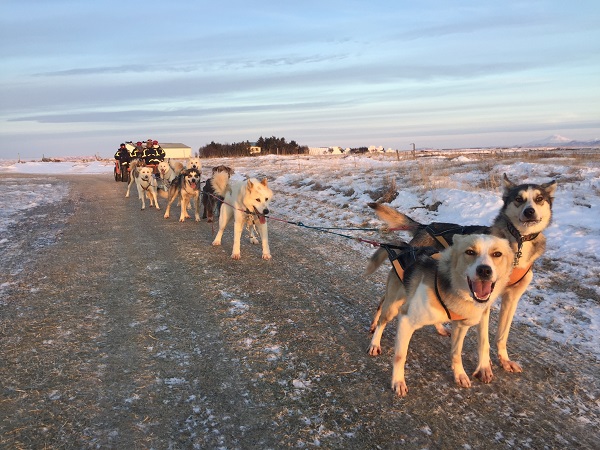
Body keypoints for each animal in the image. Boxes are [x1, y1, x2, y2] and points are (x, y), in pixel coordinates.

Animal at [366, 174, 556, 374]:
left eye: (539, 199)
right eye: (519, 199)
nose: (530, 211)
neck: (519, 242)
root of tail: (424, 226)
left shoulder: (511, 298)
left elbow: (502, 335)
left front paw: (504, 360)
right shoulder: (483, 301)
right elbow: (484, 340)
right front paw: (484, 367)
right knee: (385, 301)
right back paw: (375, 327)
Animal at [390, 234, 516, 396]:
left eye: (497, 254)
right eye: (470, 252)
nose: (484, 270)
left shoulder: (462, 325)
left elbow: (457, 352)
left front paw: (459, 374)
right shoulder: (407, 320)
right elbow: (400, 356)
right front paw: (398, 381)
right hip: (393, 307)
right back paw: (375, 343)